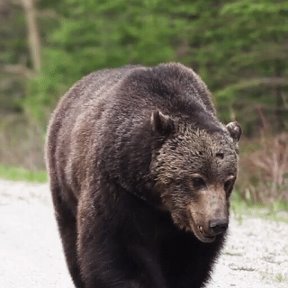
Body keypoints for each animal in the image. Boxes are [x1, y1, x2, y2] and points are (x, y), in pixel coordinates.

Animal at [46, 63, 242, 288]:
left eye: (228, 181)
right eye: (197, 179)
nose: (217, 224)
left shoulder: (185, 226)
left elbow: (186, 258)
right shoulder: (117, 188)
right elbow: (120, 247)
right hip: (64, 179)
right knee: (71, 235)